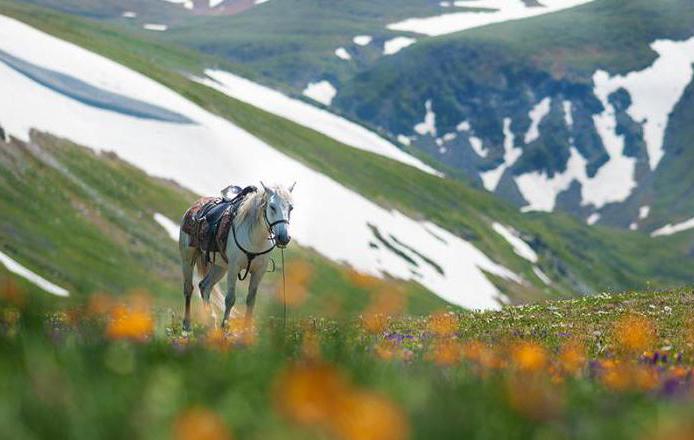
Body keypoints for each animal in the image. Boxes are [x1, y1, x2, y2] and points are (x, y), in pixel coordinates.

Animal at [178, 182, 294, 330]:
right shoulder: (234, 268)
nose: (284, 238)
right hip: (188, 257)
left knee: (204, 286)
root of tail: (195, 206)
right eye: (272, 206)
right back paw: (187, 325)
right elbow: (230, 299)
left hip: (220, 267)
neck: (255, 239)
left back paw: (211, 321)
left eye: (291, 208)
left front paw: (245, 331)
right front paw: (224, 328)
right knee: (188, 288)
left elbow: (251, 301)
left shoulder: (259, 272)